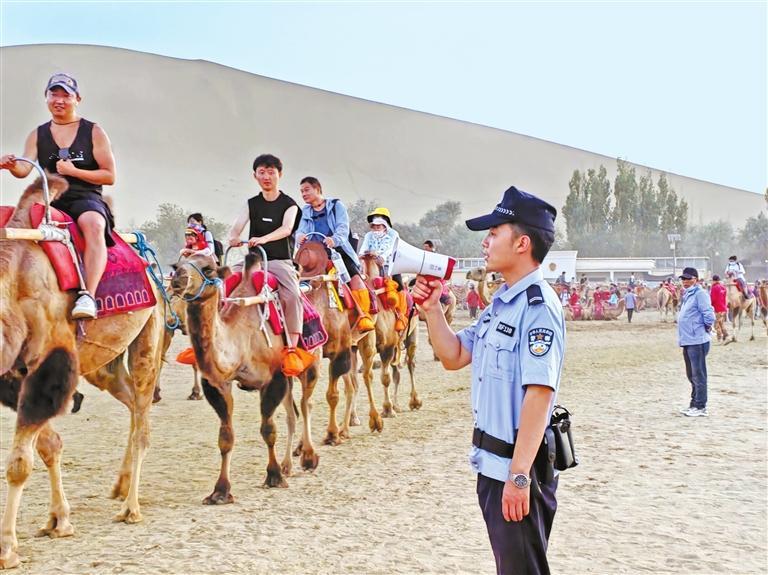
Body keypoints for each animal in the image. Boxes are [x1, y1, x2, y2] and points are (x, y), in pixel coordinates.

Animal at [0, 175, 165, 569]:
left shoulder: (48, 361)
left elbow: (20, 462)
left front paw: (7, 548)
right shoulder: (14, 375)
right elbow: (49, 445)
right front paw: (58, 520)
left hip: (150, 331)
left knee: (143, 411)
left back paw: (130, 507)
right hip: (103, 364)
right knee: (132, 402)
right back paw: (120, 484)